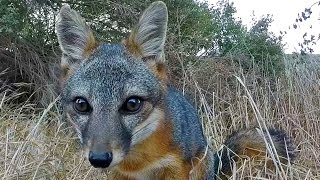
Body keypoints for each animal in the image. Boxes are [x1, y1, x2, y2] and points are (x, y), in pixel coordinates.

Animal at [55, 1, 296, 179]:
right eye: (81, 105)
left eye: (132, 104)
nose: (99, 159)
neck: (139, 165)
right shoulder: (118, 174)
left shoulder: (176, 168)